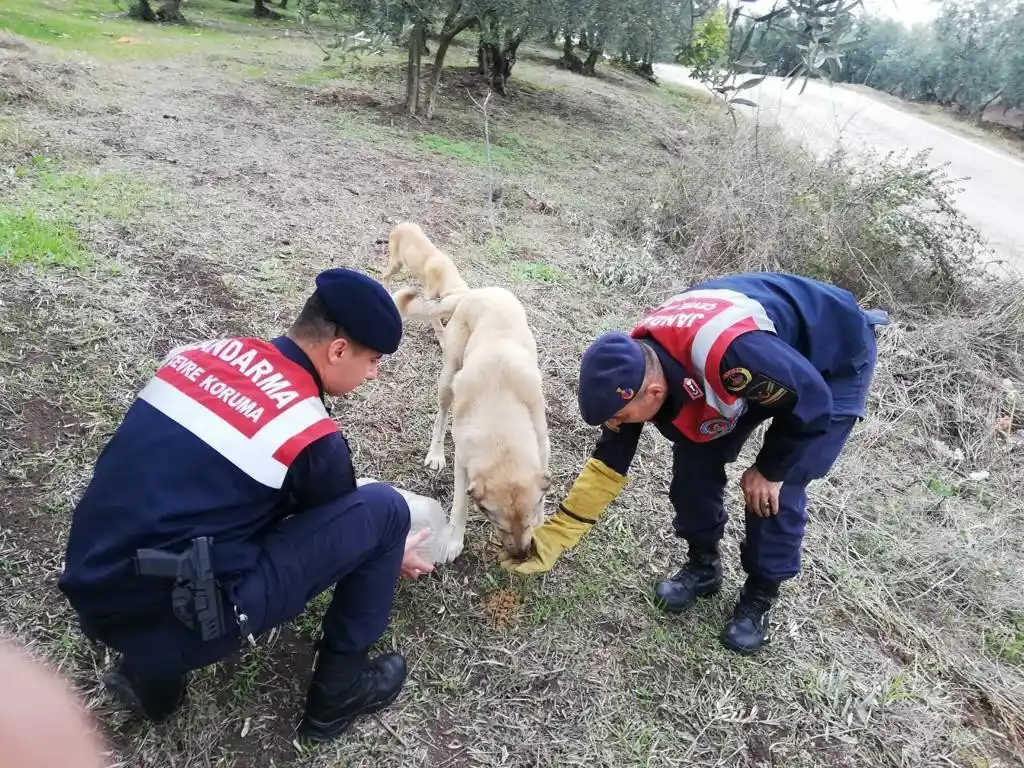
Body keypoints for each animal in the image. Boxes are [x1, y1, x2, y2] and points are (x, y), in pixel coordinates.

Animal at [393, 286, 552, 561]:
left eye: (528, 522)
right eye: (501, 527)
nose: (521, 555)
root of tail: (477, 290)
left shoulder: (543, 447)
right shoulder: (463, 461)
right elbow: (460, 505)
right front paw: (455, 540)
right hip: (448, 379)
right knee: (441, 416)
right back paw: (436, 453)